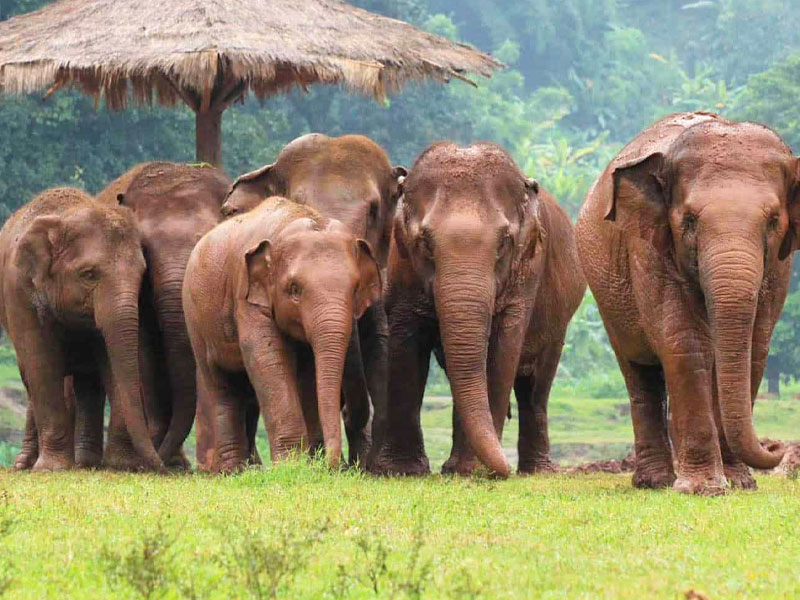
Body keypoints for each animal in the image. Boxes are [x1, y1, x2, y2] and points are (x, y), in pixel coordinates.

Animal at [0, 188, 163, 472]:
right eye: (88, 274)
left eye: (142, 274)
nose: (159, 466)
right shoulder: (19, 291)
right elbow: (41, 363)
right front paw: (52, 469)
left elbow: (111, 361)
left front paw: (121, 465)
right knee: (30, 377)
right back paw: (24, 465)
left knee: (88, 382)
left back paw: (87, 463)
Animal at [183, 197, 382, 473]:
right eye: (294, 289)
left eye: (355, 289)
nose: (333, 466)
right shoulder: (246, 296)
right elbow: (268, 359)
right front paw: (291, 466)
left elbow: (308, 372)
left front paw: (310, 462)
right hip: (196, 319)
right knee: (220, 384)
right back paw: (231, 471)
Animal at [370, 142, 586, 478]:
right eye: (425, 243)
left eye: (505, 242)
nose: (504, 469)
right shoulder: (401, 265)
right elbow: (406, 344)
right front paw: (402, 471)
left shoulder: (526, 274)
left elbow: (502, 352)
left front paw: (474, 470)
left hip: (559, 320)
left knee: (535, 387)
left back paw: (534, 471)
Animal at [575, 112, 791, 494]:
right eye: (689, 220)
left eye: (773, 221)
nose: (776, 447)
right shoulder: (648, 246)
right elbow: (684, 343)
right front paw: (703, 489)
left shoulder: (779, 265)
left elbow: (755, 347)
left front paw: (739, 484)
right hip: (606, 297)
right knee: (638, 371)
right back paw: (655, 482)